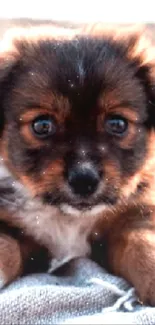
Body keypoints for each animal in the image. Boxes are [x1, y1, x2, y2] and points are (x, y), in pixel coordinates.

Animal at [0, 24, 155, 304]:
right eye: (42, 125)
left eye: (117, 123)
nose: (84, 180)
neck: (68, 218)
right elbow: (6, 244)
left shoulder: (137, 213)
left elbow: (142, 242)